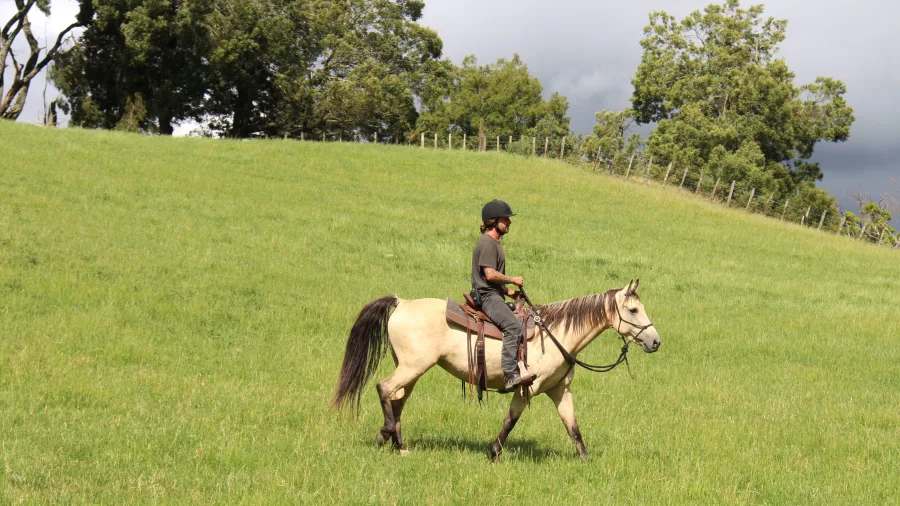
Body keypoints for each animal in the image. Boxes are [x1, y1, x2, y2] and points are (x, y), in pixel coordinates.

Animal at [332, 279, 661, 460]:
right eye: (633, 310)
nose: (655, 341)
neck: (555, 333)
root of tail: (402, 302)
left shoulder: (559, 390)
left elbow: (573, 427)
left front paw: (586, 461)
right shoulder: (528, 387)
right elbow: (510, 421)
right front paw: (493, 453)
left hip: (412, 369)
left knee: (397, 400)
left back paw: (399, 446)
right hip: (413, 367)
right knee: (385, 389)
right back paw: (385, 436)